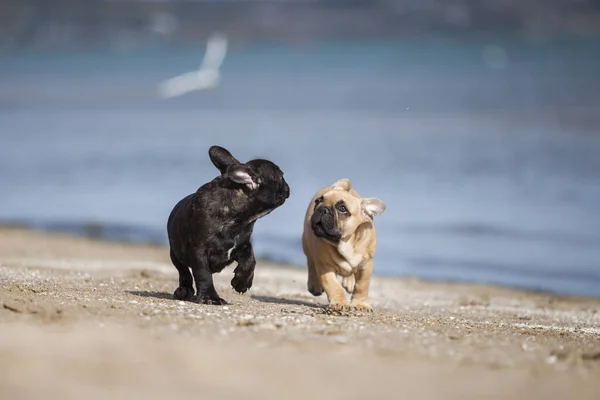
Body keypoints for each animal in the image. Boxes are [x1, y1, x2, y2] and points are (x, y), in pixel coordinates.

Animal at [165, 145, 290, 304]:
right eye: (281, 176)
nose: (287, 186)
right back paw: (184, 290)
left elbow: (251, 260)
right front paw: (210, 297)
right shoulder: (198, 251)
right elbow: (203, 274)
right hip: (175, 252)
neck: (238, 220)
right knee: (183, 271)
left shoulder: (243, 244)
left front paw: (241, 282)